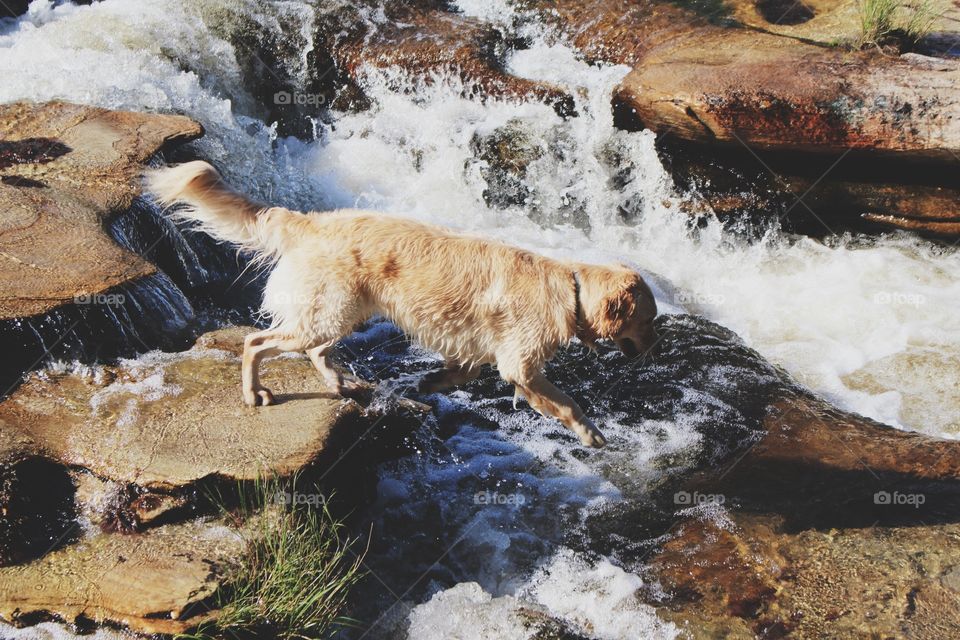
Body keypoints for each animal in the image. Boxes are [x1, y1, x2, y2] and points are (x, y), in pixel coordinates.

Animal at [146, 162, 656, 448]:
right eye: (649, 321)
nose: (653, 348)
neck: (570, 288)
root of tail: (311, 221)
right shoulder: (522, 368)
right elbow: (568, 403)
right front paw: (592, 434)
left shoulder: (474, 354)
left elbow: (453, 375)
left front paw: (425, 385)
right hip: (325, 313)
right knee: (257, 342)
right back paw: (255, 393)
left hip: (342, 313)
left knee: (315, 351)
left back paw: (340, 382)